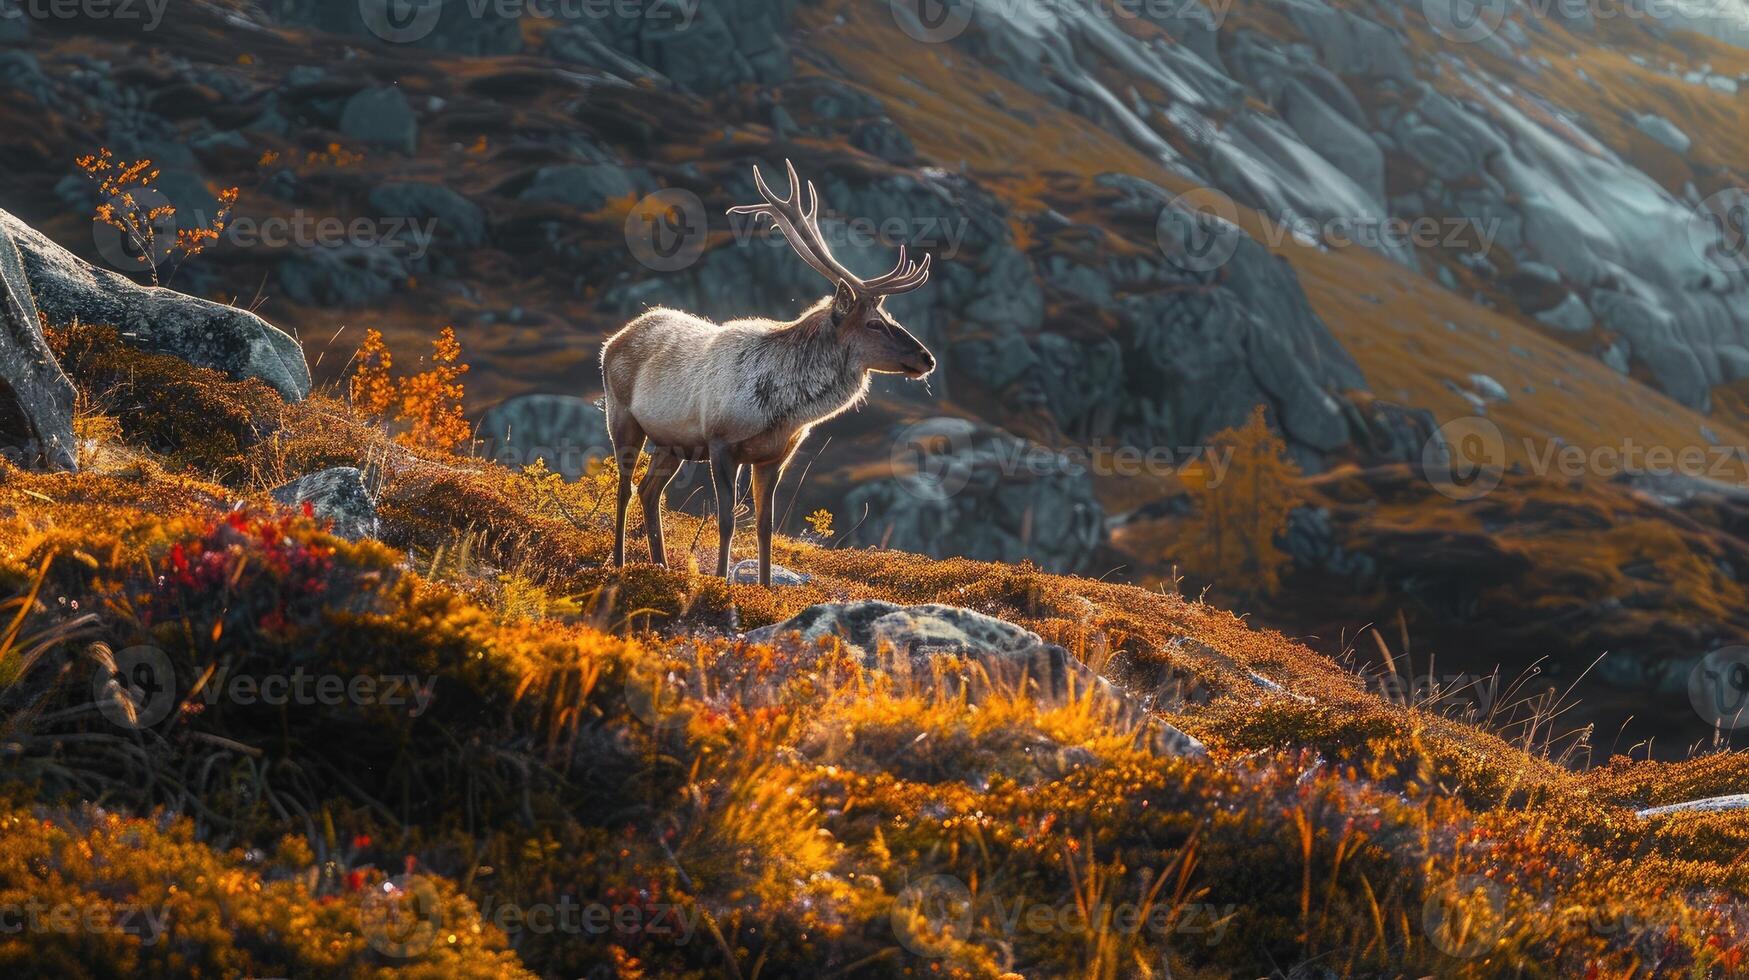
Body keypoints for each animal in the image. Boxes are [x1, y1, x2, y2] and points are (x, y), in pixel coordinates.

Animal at [598, 160, 937, 584]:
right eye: (875, 323)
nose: (927, 358)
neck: (782, 410)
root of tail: (613, 340)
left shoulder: (774, 456)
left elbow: (764, 525)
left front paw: (764, 585)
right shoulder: (720, 442)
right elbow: (727, 521)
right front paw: (722, 579)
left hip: (670, 443)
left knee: (649, 490)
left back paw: (659, 564)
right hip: (623, 418)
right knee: (625, 487)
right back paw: (618, 561)